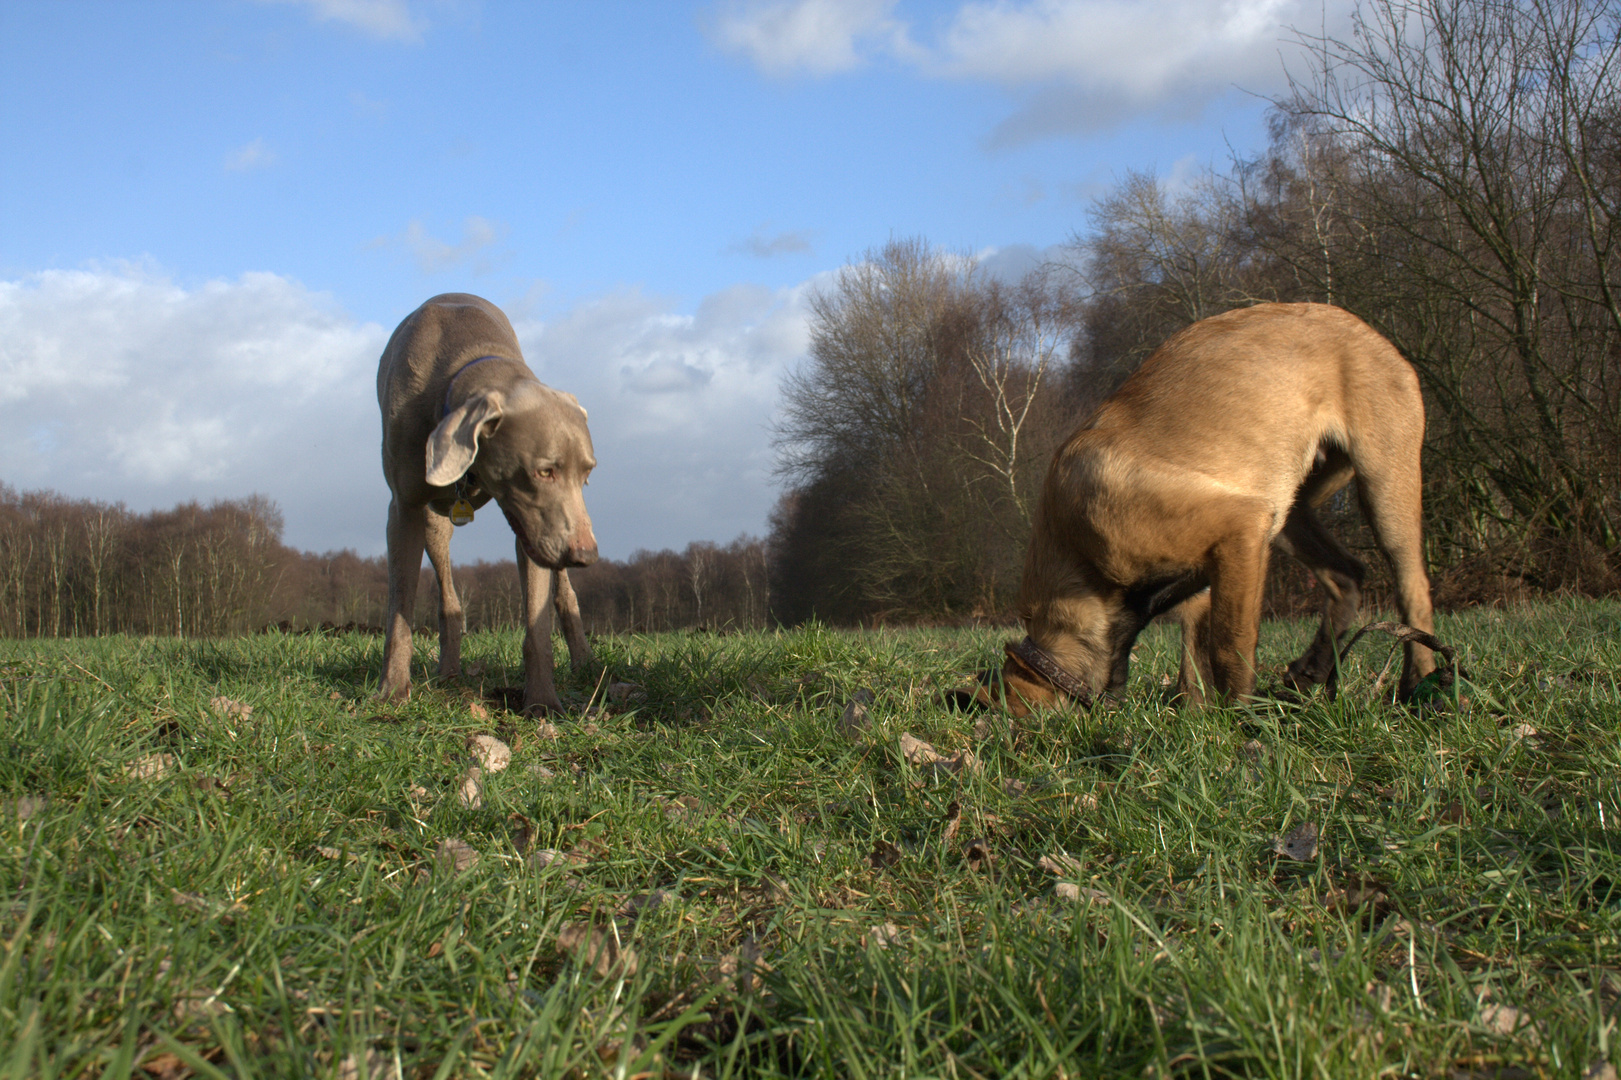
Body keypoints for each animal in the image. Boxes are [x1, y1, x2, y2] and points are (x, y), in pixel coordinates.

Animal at [376, 291, 599, 713]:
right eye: (545, 471)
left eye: (587, 474)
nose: (587, 556)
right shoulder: (403, 509)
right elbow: (399, 609)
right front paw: (392, 691)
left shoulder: (529, 529)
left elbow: (537, 627)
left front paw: (543, 702)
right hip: (435, 522)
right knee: (449, 596)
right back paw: (449, 671)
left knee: (564, 593)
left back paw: (583, 662)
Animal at [985, 300, 1432, 713]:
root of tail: (1368, 331)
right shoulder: (1213, 571)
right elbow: (1194, 662)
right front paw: (1198, 718)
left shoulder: (1239, 529)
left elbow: (1229, 647)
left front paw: (1240, 719)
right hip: (1288, 507)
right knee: (1347, 575)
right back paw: (1309, 673)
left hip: (1383, 484)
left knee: (1413, 588)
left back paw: (1422, 686)